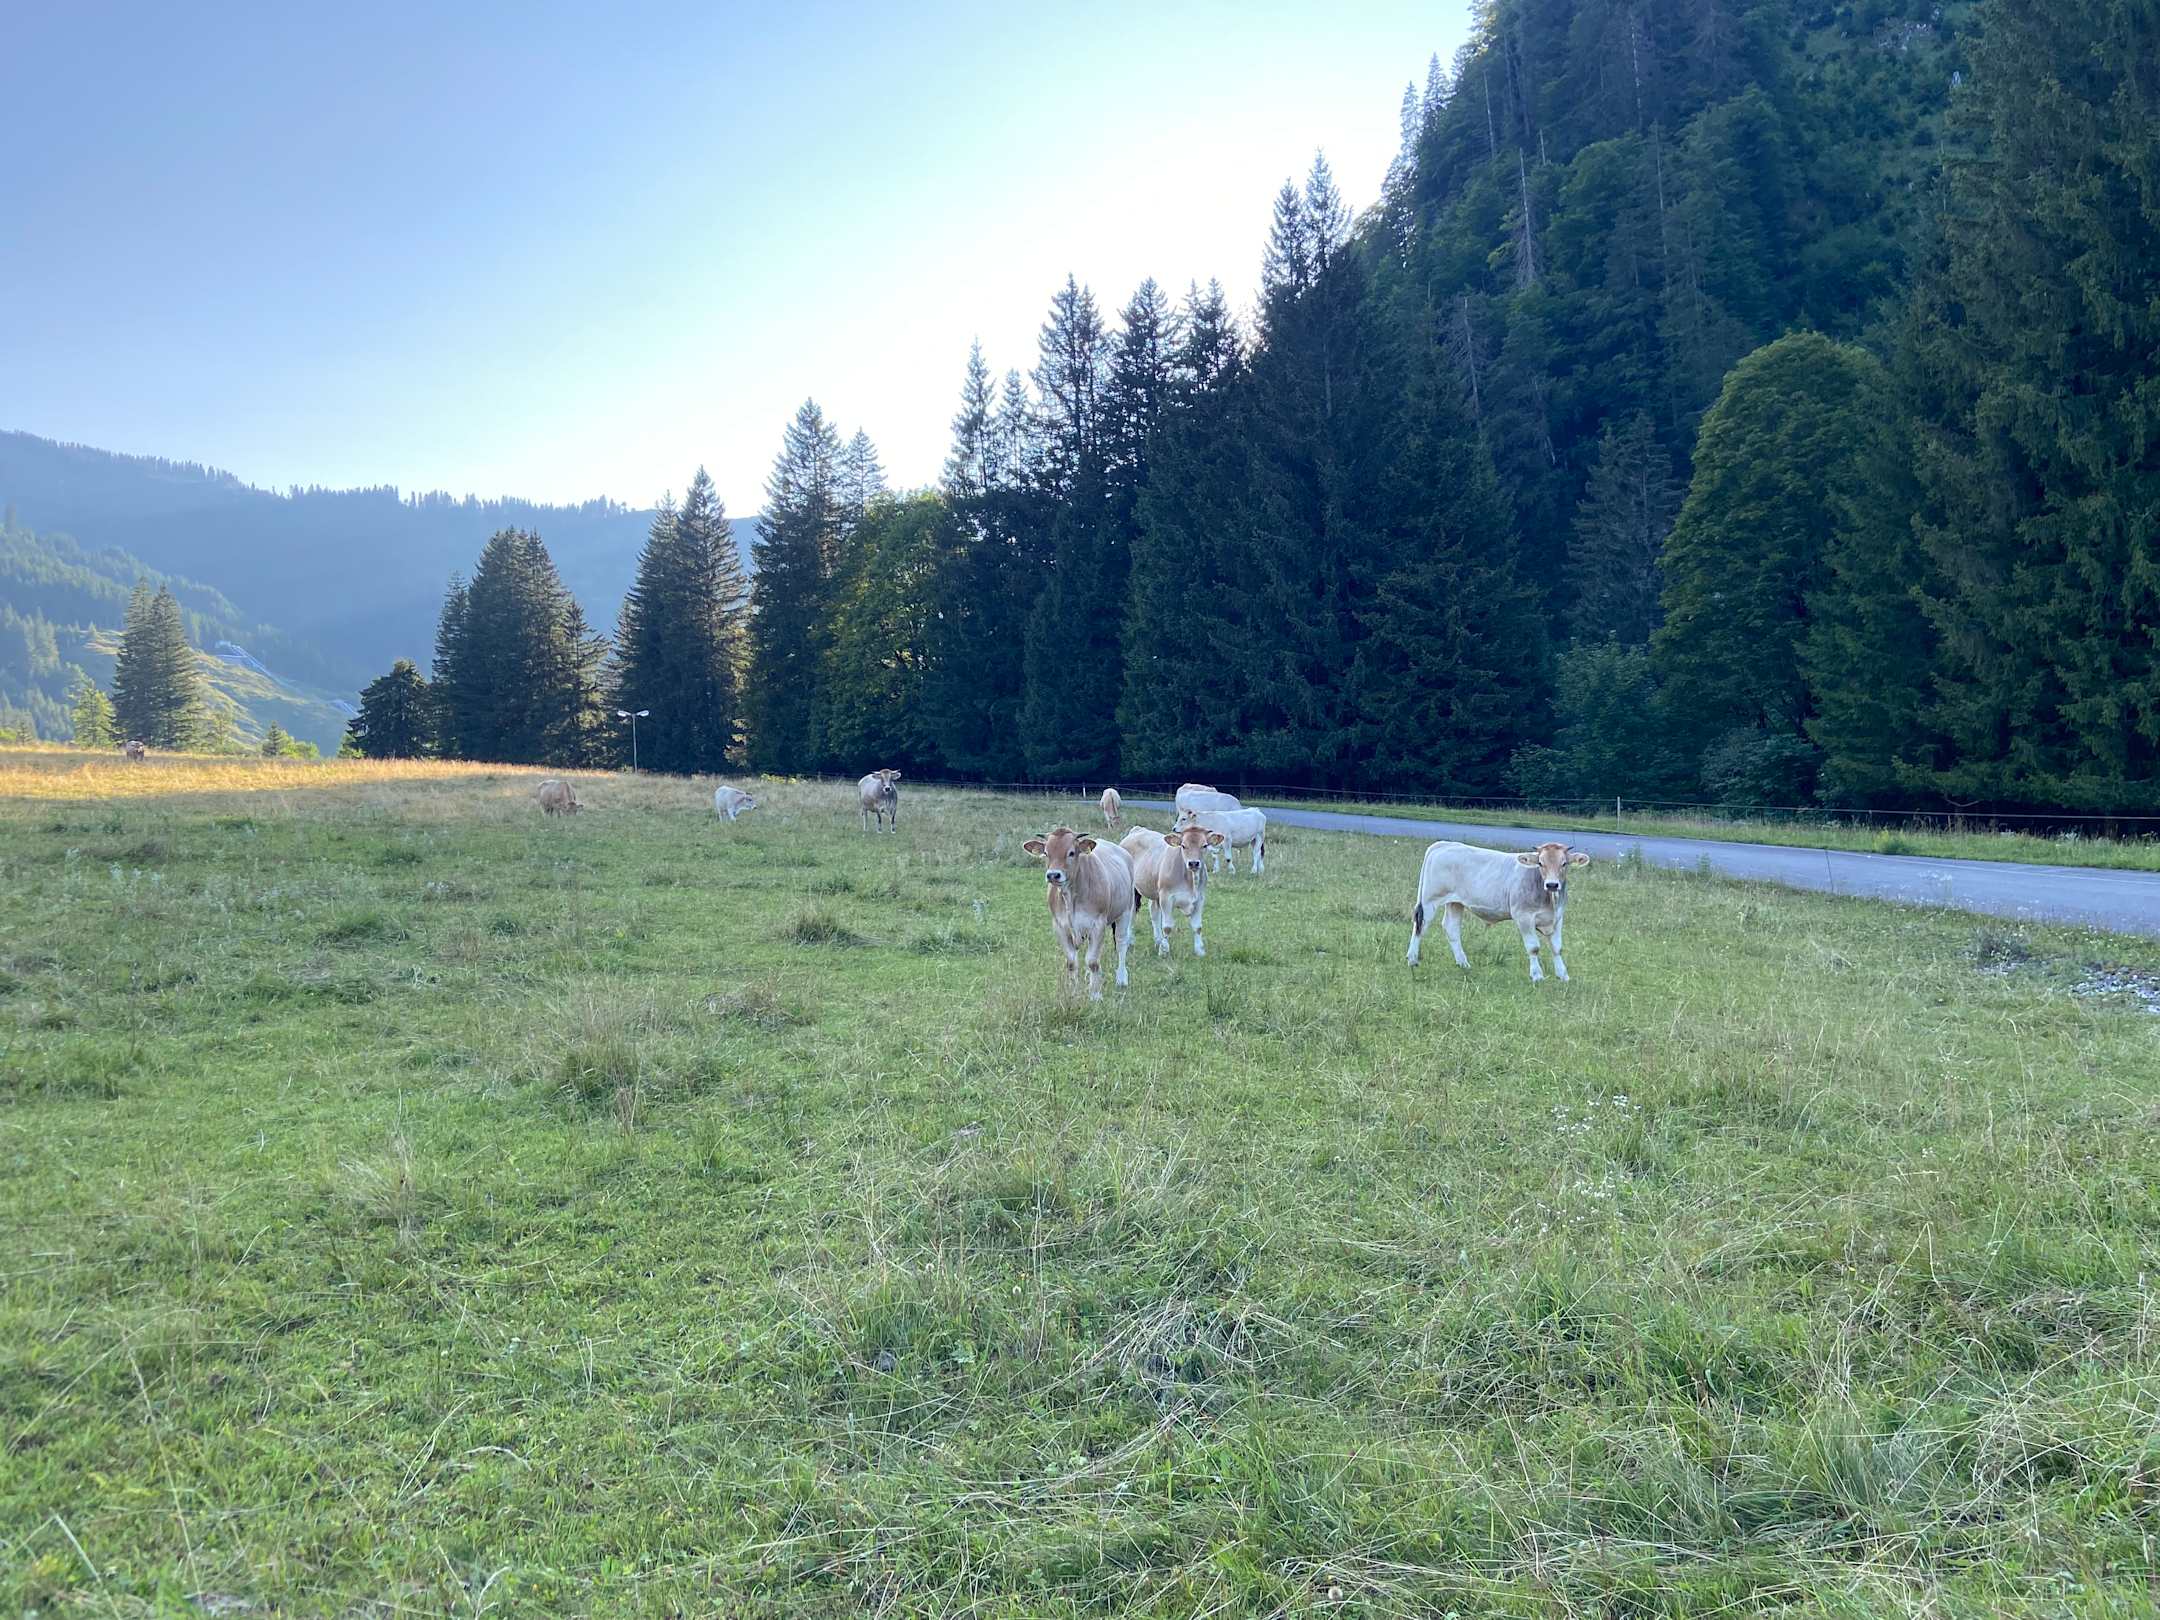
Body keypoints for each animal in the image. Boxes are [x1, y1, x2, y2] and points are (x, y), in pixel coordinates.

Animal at [1021, 826, 1137, 1000]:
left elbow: (1093, 962)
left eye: (1071, 852)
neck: (1071, 897)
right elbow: (1071, 962)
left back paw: (1122, 978)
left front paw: (1095, 995)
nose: (1053, 875)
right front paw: (1073, 992)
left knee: (1122, 944)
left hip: (1126, 911)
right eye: (1046, 853)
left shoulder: (1098, 924)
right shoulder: (1060, 926)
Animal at [1121, 823, 1223, 958]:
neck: (1190, 881)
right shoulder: (1166, 897)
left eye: (1204, 845)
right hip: (1133, 891)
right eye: (1183, 845)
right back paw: (1129, 941)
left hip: (1155, 893)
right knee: (1132, 913)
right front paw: (1164, 951)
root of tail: (1138, 829)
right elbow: (1167, 927)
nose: (1193, 863)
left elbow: (1197, 927)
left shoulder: (1200, 899)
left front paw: (1199, 950)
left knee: (1153, 912)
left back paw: (1158, 940)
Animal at [1407, 839, 1589, 983]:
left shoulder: (1558, 918)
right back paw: (1412, 959)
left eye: (1564, 863)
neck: (1550, 900)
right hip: (1430, 900)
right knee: (1420, 926)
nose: (1552, 884)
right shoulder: (1523, 917)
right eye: (1540, 863)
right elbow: (1533, 947)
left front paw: (1563, 975)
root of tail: (1445, 844)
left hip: (1455, 902)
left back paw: (1463, 963)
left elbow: (1557, 948)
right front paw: (1537, 975)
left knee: (1451, 928)